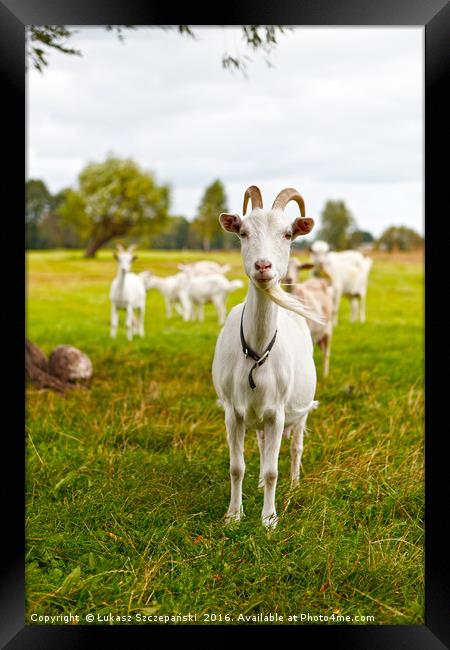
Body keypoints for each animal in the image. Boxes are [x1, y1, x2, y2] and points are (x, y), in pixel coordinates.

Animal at [212, 184, 324, 528]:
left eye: (288, 234)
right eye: (243, 232)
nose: (263, 266)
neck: (256, 351)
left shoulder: (277, 413)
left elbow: (275, 469)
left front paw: (269, 519)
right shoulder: (232, 412)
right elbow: (237, 467)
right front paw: (233, 515)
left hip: (300, 410)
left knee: (296, 447)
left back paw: (295, 483)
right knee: (262, 446)